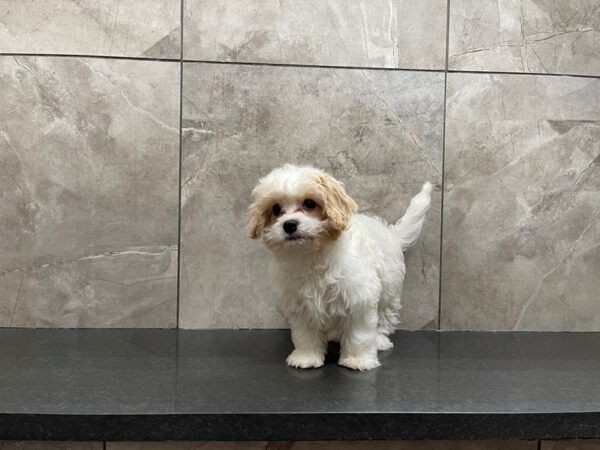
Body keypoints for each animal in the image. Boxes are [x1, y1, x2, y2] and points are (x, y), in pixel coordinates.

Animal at [247, 163, 432, 370]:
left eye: (309, 204)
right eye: (276, 209)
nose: (289, 225)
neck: (311, 255)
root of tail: (390, 234)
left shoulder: (359, 298)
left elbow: (360, 333)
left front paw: (358, 359)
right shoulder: (300, 305)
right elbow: (305, 334)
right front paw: (307, 357)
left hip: (389, 288)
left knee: (385, 315)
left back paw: (380, 339)